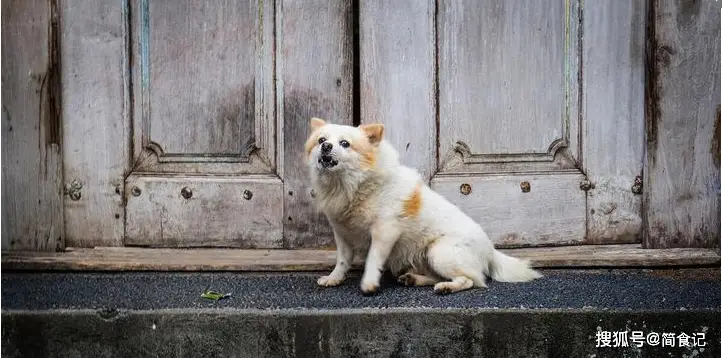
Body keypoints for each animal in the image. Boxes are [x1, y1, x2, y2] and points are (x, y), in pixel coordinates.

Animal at [304, 117, 540, 294]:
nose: (326, 146)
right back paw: (413, 279)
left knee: (471, 280)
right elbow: (342, 261)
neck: (351, 185)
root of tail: (491, 250)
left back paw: (446, 287)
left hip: (438, 252)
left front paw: (369, 284)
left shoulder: (384, 231)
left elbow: (373, 259)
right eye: (321, 140)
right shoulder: (343, 235)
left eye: (345, 144)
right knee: (441, 276)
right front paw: (334, 279)